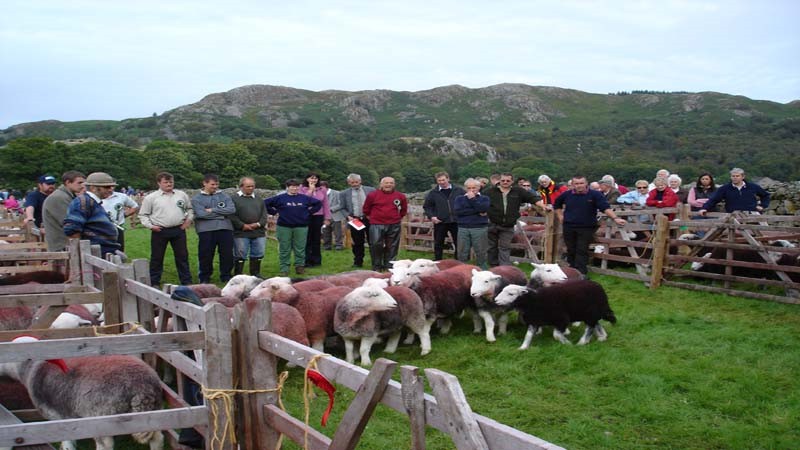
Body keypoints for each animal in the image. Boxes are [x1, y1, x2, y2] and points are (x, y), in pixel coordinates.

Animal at [1, 336, 164, 448]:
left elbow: (67, 441)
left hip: (100, 418)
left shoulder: (60, 417)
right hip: (152, 414)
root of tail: (142, 386)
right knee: (158, 438)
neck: (30, 369)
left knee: (105, 445)